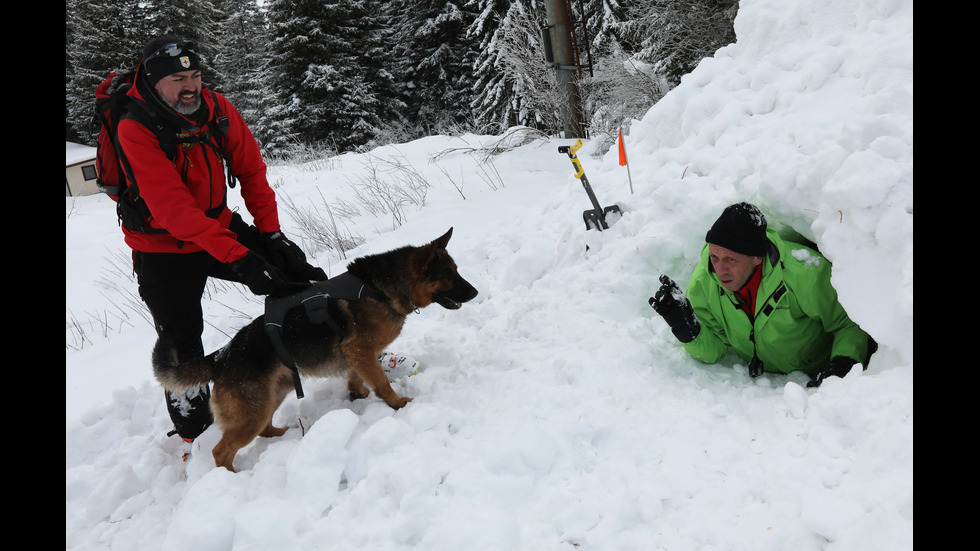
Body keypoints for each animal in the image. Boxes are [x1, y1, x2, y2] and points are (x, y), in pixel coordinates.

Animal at [149, 231, 478, 472]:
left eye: (455, 271)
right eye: (448, 274)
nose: (475, 292)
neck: (378, 289)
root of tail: (221, 356)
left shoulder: (355, 356)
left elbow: (357, 378)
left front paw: (357, 395)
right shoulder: (360, 350)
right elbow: (382, 382)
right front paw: (396, 404)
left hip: (272, 396)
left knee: (264, 430)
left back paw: (286, 435)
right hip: (252, 411)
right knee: (221, 451)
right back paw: (231, 478)